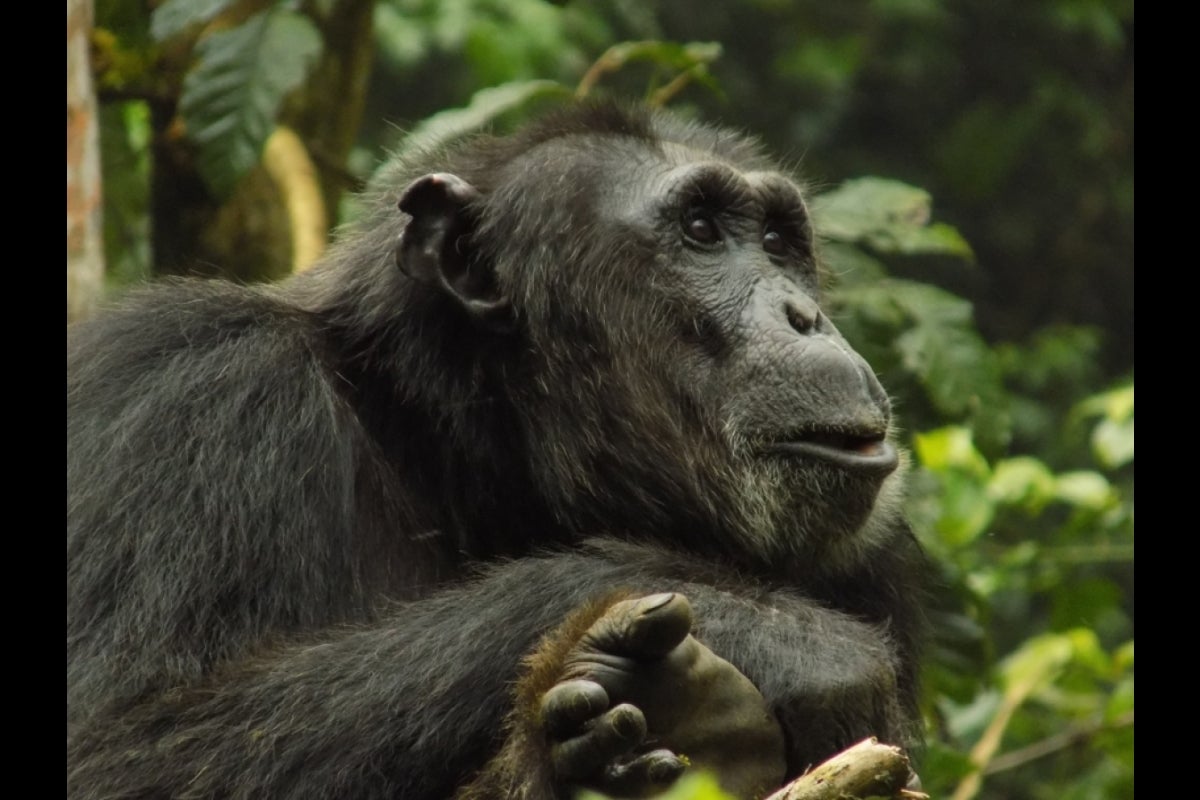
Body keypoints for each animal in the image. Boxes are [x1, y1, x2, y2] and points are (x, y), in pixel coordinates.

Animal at [68, 103, 926, 796]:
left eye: (779, 242)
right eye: (702, 232)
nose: (803, 315)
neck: (461, 454)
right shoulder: (192, 390)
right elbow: (116, 750)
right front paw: (774, 631)